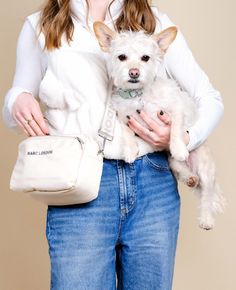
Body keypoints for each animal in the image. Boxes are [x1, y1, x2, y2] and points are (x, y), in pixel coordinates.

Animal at [94, 21, 225, 230]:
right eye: (122, 57)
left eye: (145, 58)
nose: (134, 72)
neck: (137, 95)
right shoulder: (122, 116)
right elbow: (127, 134)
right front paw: (130, 151)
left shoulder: (175, 109)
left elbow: (175, 129)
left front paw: (179, 147)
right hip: (172, 163)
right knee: (183, 171)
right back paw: (189, 178)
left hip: (205, 168)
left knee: (206, 194)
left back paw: (206, 218)